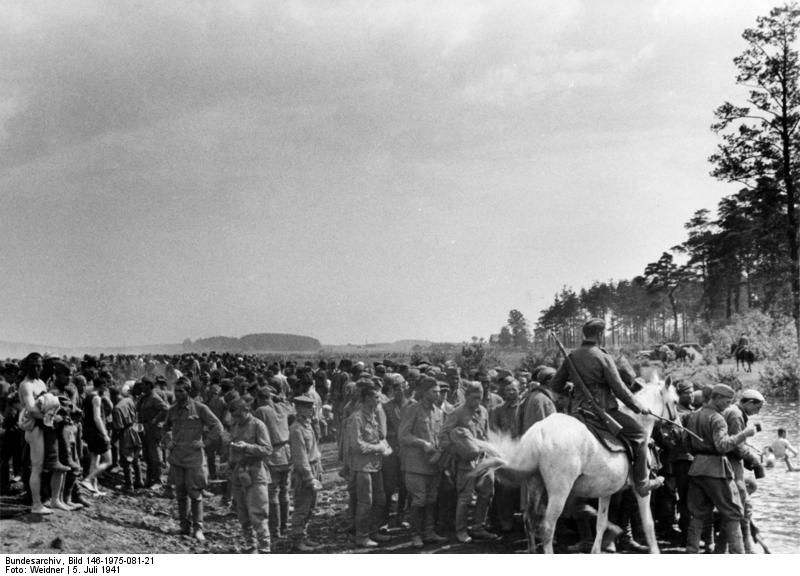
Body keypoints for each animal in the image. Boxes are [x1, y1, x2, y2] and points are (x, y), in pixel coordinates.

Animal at [472, 368, 680, 552]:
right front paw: (654, 550)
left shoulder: (606, 490)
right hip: (559, 490)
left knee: (529, 520)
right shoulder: (640, 490)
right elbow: (648, 524)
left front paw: (598, 549)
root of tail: (539, 432)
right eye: (676, 402)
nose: (678, 431)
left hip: (535, 483)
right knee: (547, 527)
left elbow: (601, 524)